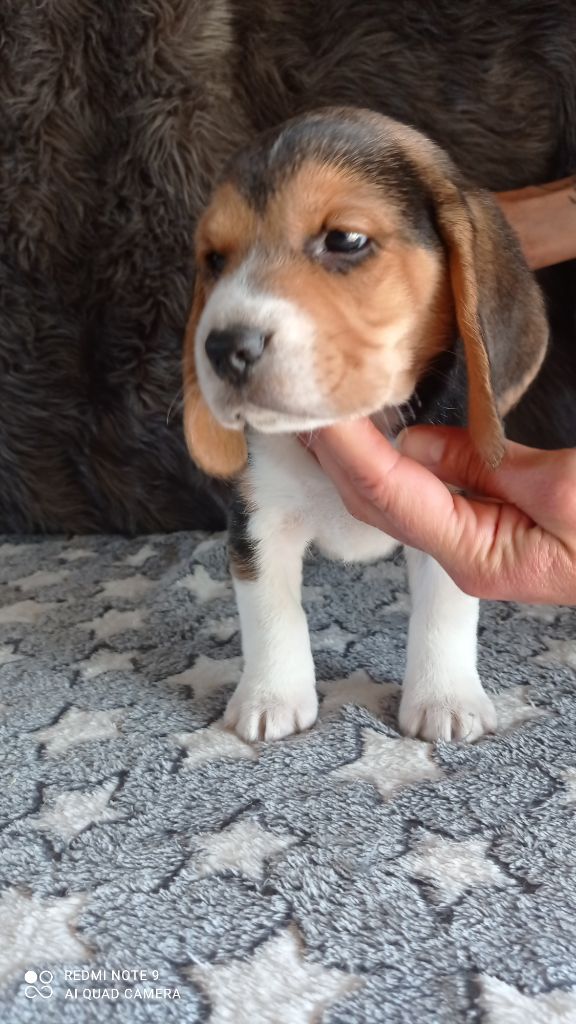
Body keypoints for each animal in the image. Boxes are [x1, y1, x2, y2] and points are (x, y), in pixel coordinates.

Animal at [182, 107, 549, 744]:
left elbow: (446, 608)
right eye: (214, 260)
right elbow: (272, 613)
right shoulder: (258, 519)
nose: (224, 347)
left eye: (345, 240)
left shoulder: (449, 509)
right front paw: (271, 696)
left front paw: (445, 698)